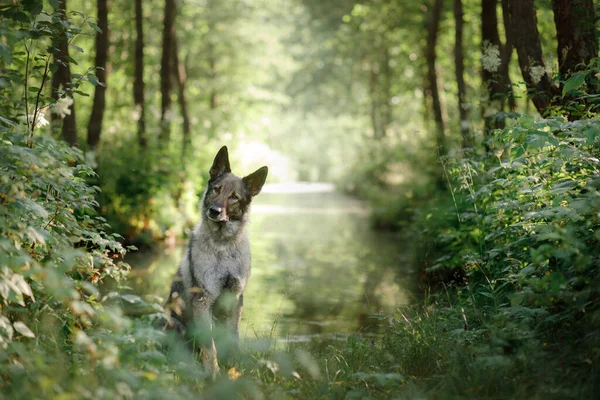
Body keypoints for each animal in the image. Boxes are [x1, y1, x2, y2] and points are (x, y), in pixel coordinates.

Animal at [164, 146, 268, 378]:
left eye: (234, 197)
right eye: (216, 190)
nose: (214, 211)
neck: (223, 247)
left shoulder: (235, 299)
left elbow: (232, 338)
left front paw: (233, 368)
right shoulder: (203, 299)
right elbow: (209, 345)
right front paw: (213, 373)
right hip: (174, 322)